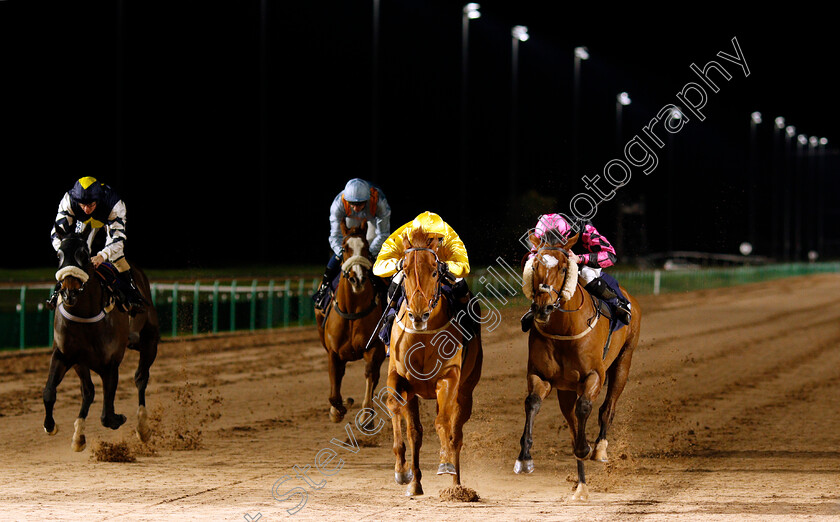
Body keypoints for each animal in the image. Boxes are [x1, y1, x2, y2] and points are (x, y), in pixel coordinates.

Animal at [44, 233, 159, 450]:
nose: (69, 291)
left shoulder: (110, 364)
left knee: (141, 378)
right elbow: (49, 391)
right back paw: (78, 434)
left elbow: (107, 415)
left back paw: (143, 428)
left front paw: (119, 418)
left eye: (84, 254)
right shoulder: (65, 355)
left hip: (149, 341)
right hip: (83, 361)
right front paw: (51, 426)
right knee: (88, 391)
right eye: (58, 254)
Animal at [316, 219, 388, 422]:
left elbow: (370, 373)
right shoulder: (333, 352)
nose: (358, 279)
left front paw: (366, 417)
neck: (353, 311)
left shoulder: (375, 347)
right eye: (344, 247)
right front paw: (337, 410)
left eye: (366, 248)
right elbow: (334, 390)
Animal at [384, 225, 482, 494]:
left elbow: (442, 423)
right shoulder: (399, 377)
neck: (423, 337)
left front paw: (445, 463)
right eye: (405, 271)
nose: (419, 315)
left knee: (456, 433)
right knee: (416, 432)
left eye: (435, 271)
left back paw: (457, 486)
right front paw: (402, 471)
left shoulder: (449, 378)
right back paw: (415, 483)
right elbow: (396, 409)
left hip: (466, 390)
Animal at [512, 230, 644, 498]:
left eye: (564, 268)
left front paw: (586, 448)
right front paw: (525, 457)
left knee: (607, 408)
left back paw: (599, 448)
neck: (565, 328)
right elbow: (533, 403)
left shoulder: (594, 375)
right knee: (572, 420)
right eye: (535, 265)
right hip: (565, 388)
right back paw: (580, 482)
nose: (543, 307)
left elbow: (585, 407)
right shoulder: (541, 376)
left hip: (624, 361)